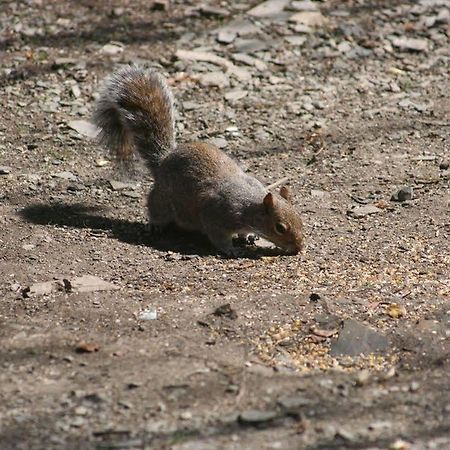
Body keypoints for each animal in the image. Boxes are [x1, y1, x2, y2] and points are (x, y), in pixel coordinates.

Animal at [92, 67, 304, 256]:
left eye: (300, 219)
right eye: (280, 227)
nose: (299, 248)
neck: (250, 206)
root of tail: (163, 161)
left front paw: (248, 236)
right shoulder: (216, 215)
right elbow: (218, 236)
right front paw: (231, 249)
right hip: (163, 201)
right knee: (155, 207)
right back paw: (155, 225)